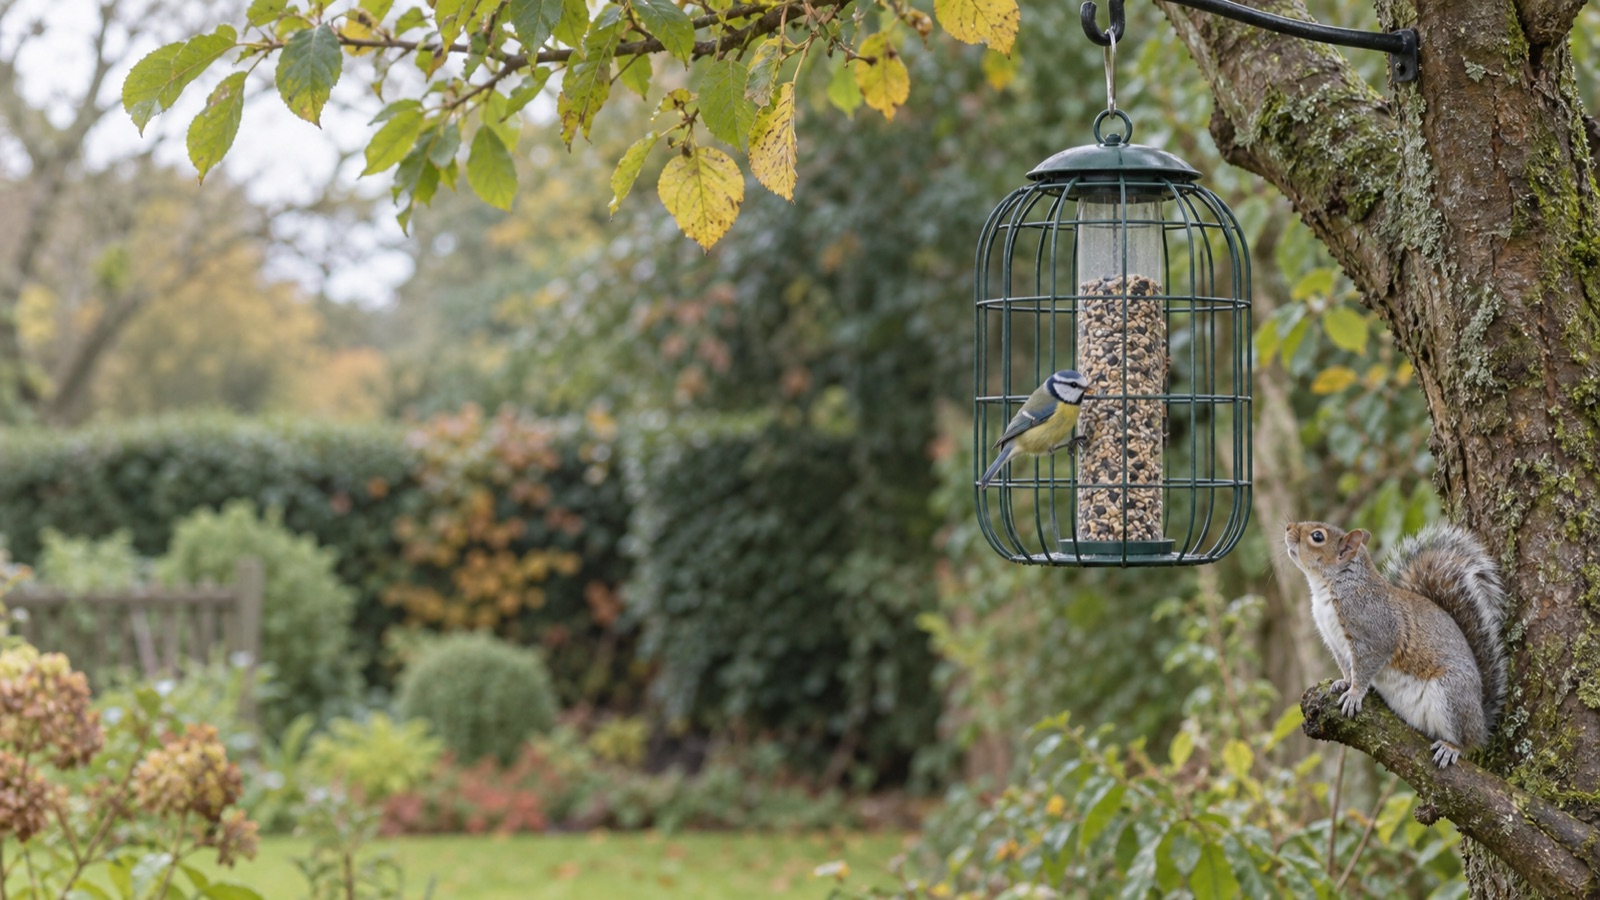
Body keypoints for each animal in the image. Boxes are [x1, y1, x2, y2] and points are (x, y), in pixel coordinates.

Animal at [1284, 521, 1508, 768]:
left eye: (1317, 536)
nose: (1288, 527)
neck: (1332, 585)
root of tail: (1481, 719)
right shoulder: (1334, 641)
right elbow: (1347, 667)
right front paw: (1343, 682)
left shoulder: (1375, 634)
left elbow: (1365, 666)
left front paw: (1354, 694)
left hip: (1452, 694)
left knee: (1468, 740)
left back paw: (1453, 747)